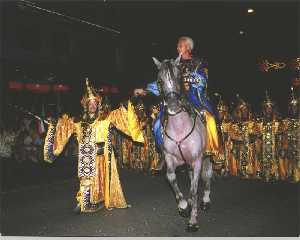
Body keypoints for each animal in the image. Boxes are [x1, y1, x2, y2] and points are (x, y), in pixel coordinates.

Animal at [152, 55, 213, 232]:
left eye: (179, 77)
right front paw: (184, 206)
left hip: (207, 157)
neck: (180, 128)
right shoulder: (170, 158)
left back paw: (205, 201)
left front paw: (193, 221)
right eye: (159, 81)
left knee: (207, 176)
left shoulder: (197, 160)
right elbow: (171, 178)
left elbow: (194, 189)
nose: (173, 105)